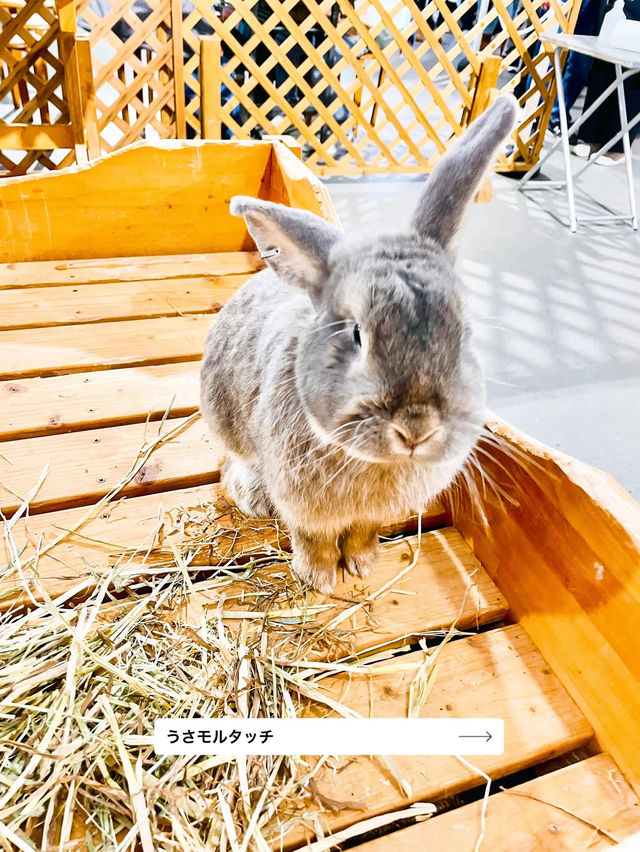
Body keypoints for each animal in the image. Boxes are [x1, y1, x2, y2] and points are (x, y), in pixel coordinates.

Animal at [202, 95, 516, 592]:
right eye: (355, 335)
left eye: (463, 329)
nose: (417, 428)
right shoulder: (304, 506)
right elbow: (312, 538)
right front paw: (321, 579)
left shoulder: (372, 515)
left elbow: (363, 531)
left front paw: (363, 564)